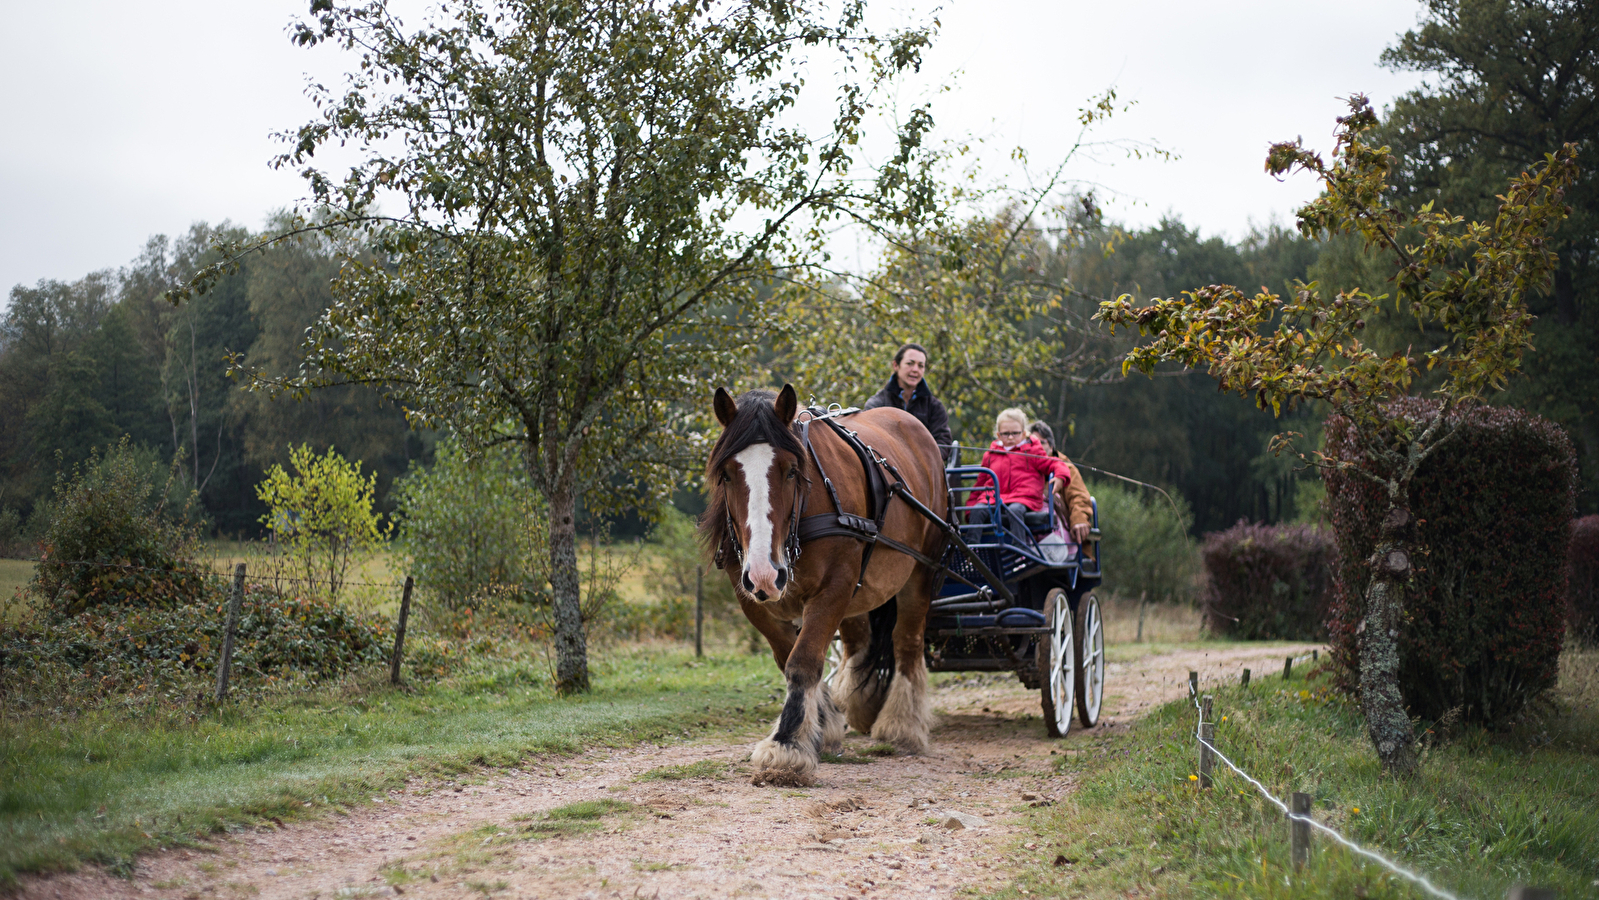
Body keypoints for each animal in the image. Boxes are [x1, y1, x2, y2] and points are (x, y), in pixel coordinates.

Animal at [703, 383, 946, 786]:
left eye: (791, 471)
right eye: (725, 475)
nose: (765, 573)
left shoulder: (834, 586)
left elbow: (803, 660)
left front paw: (787, 745)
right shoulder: (750, 597)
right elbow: (787, 655)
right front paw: (823, 722)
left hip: (920, 572)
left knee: (907, 643)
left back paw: (902, 726)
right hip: (858, 591)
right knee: (859, 643)